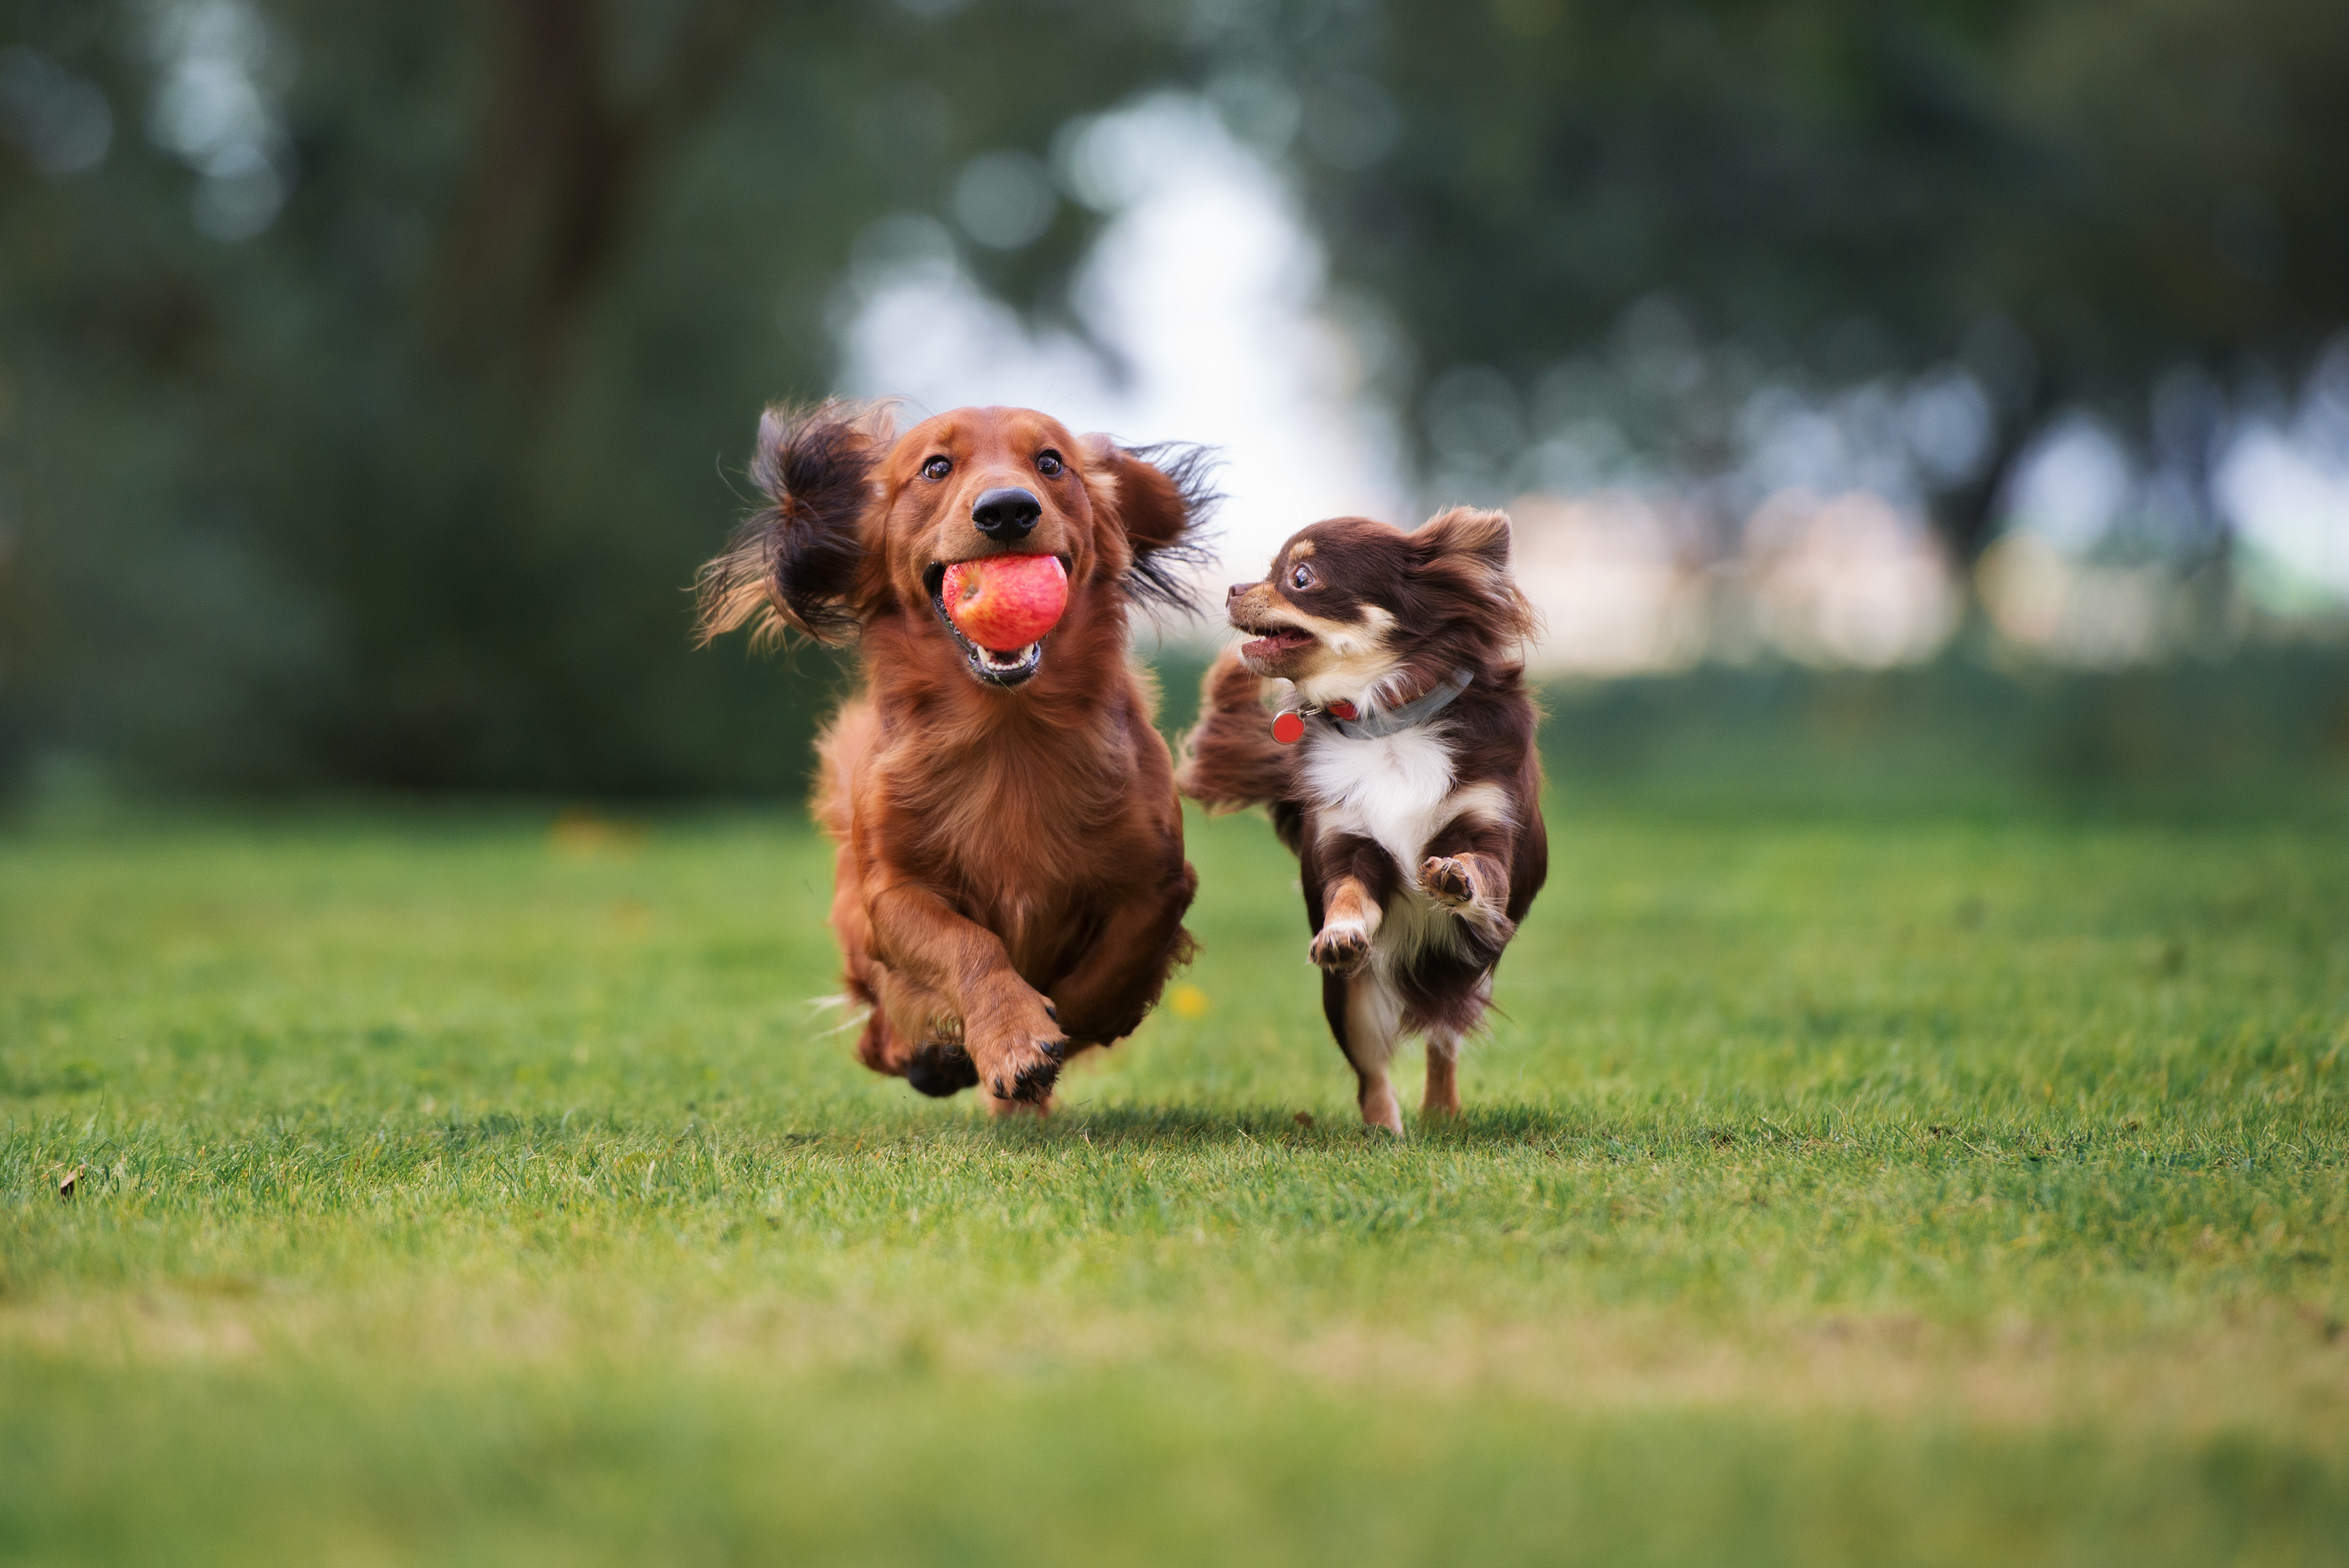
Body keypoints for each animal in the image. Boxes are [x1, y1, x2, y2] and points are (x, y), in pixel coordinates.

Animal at [690, 404, 1212, 1113]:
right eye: (936, 467)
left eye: (1051, 462)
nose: (1007, 510)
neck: (1008, 732)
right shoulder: (892, 893)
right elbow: (969, 945)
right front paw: (1011, 1036)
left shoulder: (1158, 880)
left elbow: (1108, 973)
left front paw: (1052, 1030)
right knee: (876, 1034)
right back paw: (931, 1057)